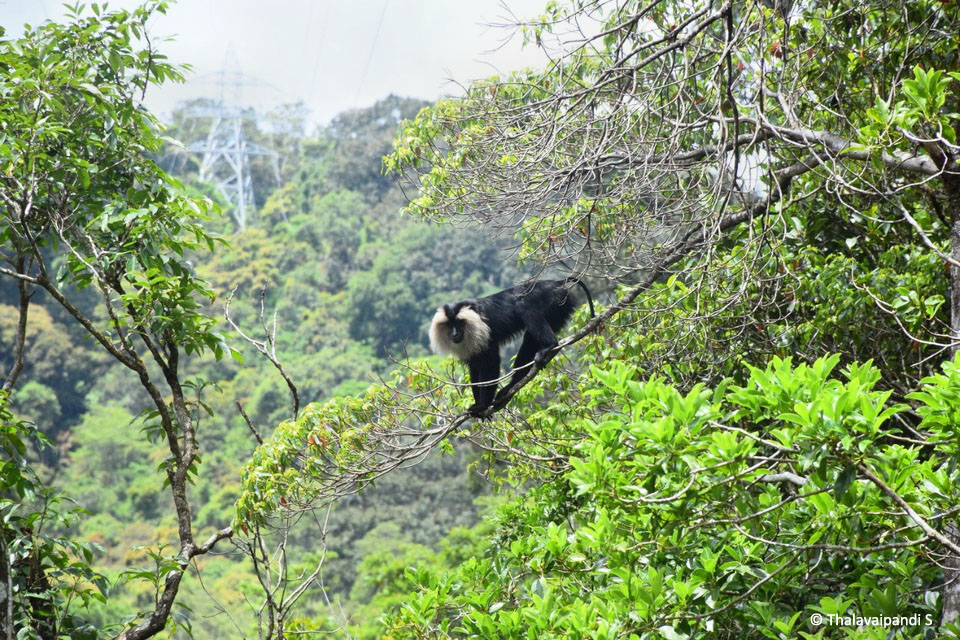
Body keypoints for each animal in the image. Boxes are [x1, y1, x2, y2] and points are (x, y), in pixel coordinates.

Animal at [429, 278, 595, 414]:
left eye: (459, 323)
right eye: (449, 325)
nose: (454, 333)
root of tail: (555, 283)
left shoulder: (485, 338)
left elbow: (490, 364)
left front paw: (483, 405)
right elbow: (475, 368)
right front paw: (478, 405)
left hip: (554, 300)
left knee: (525, 306)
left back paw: (549, 345)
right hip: (558, 308)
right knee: (530, 340)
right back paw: (512, 386)